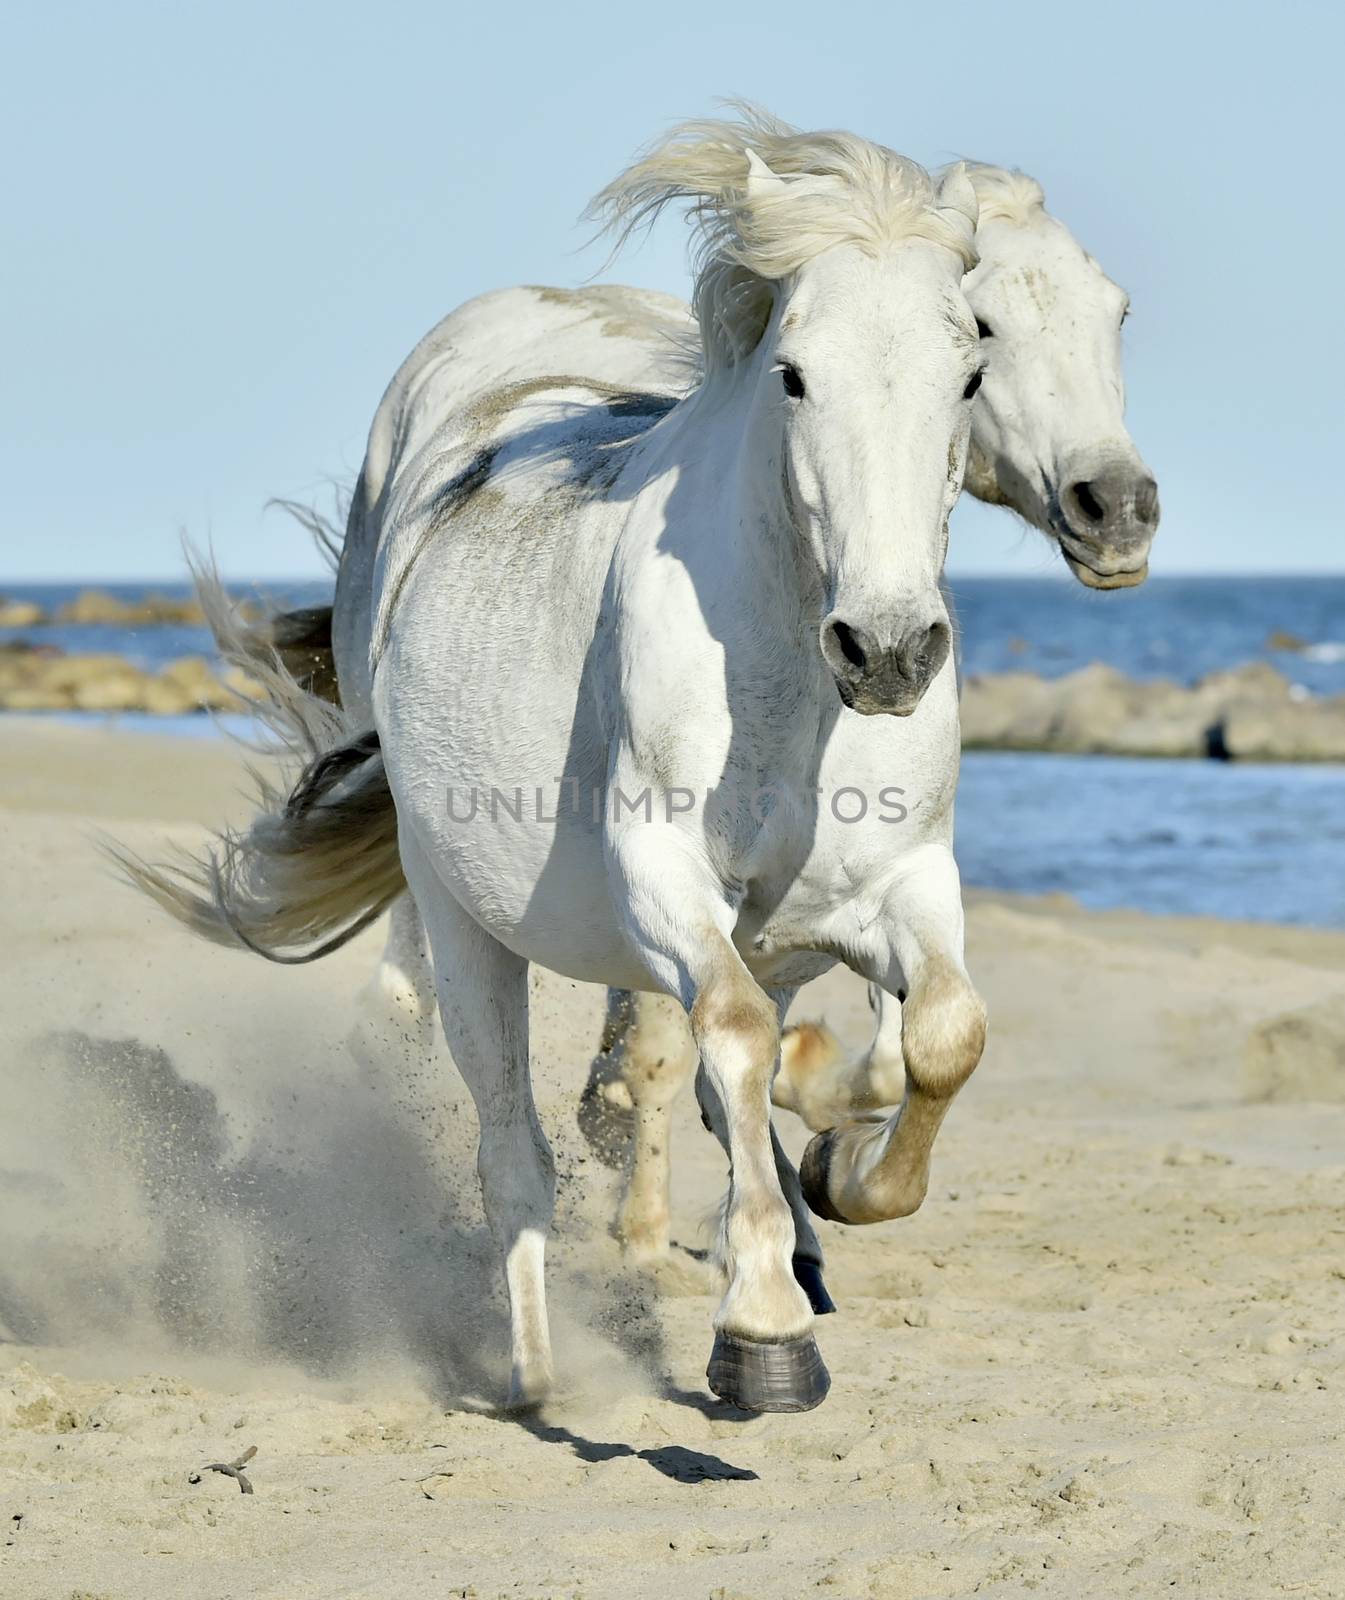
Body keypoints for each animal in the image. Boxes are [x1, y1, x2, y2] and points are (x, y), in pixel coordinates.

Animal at [120, 116, 985, 1414]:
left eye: (969, 375)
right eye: (793, 374)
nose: (885, 650)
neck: (783, 675)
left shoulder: (897, 885)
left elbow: (940, 1034)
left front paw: (840, 1180)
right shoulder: (659, 879)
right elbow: (732, 1030)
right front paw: (763, 1338)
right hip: (460, 915)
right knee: (505, 1138)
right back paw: (533, 1371)